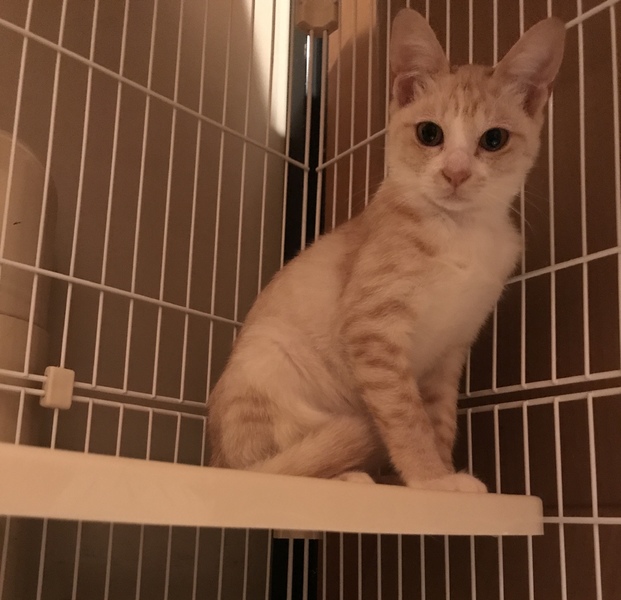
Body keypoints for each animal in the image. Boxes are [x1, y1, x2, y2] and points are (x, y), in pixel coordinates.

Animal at [207, 9, 565, 492]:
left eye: (494, 140)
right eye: (430, 133)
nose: (455, 173)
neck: (461, 233)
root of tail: (214, 460)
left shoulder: (449, 352)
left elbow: (438, 419)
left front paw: (442, 475)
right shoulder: (373, 329)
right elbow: (404, 417)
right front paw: (429, 478)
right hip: (267, 361)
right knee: (275, 466)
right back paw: (346, 475)